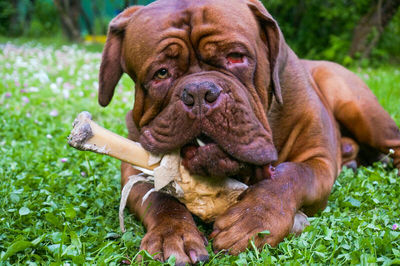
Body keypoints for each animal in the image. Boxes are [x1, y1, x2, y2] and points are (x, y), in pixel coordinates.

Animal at [97, 0, 400, 262]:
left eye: (235, 57)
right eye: (161, 73)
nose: (199, 92)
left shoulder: (319, 161)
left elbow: (291, 175)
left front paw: (254, 219)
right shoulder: (133, 165)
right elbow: (159, 196)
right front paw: (170, 235)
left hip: (355, 105)